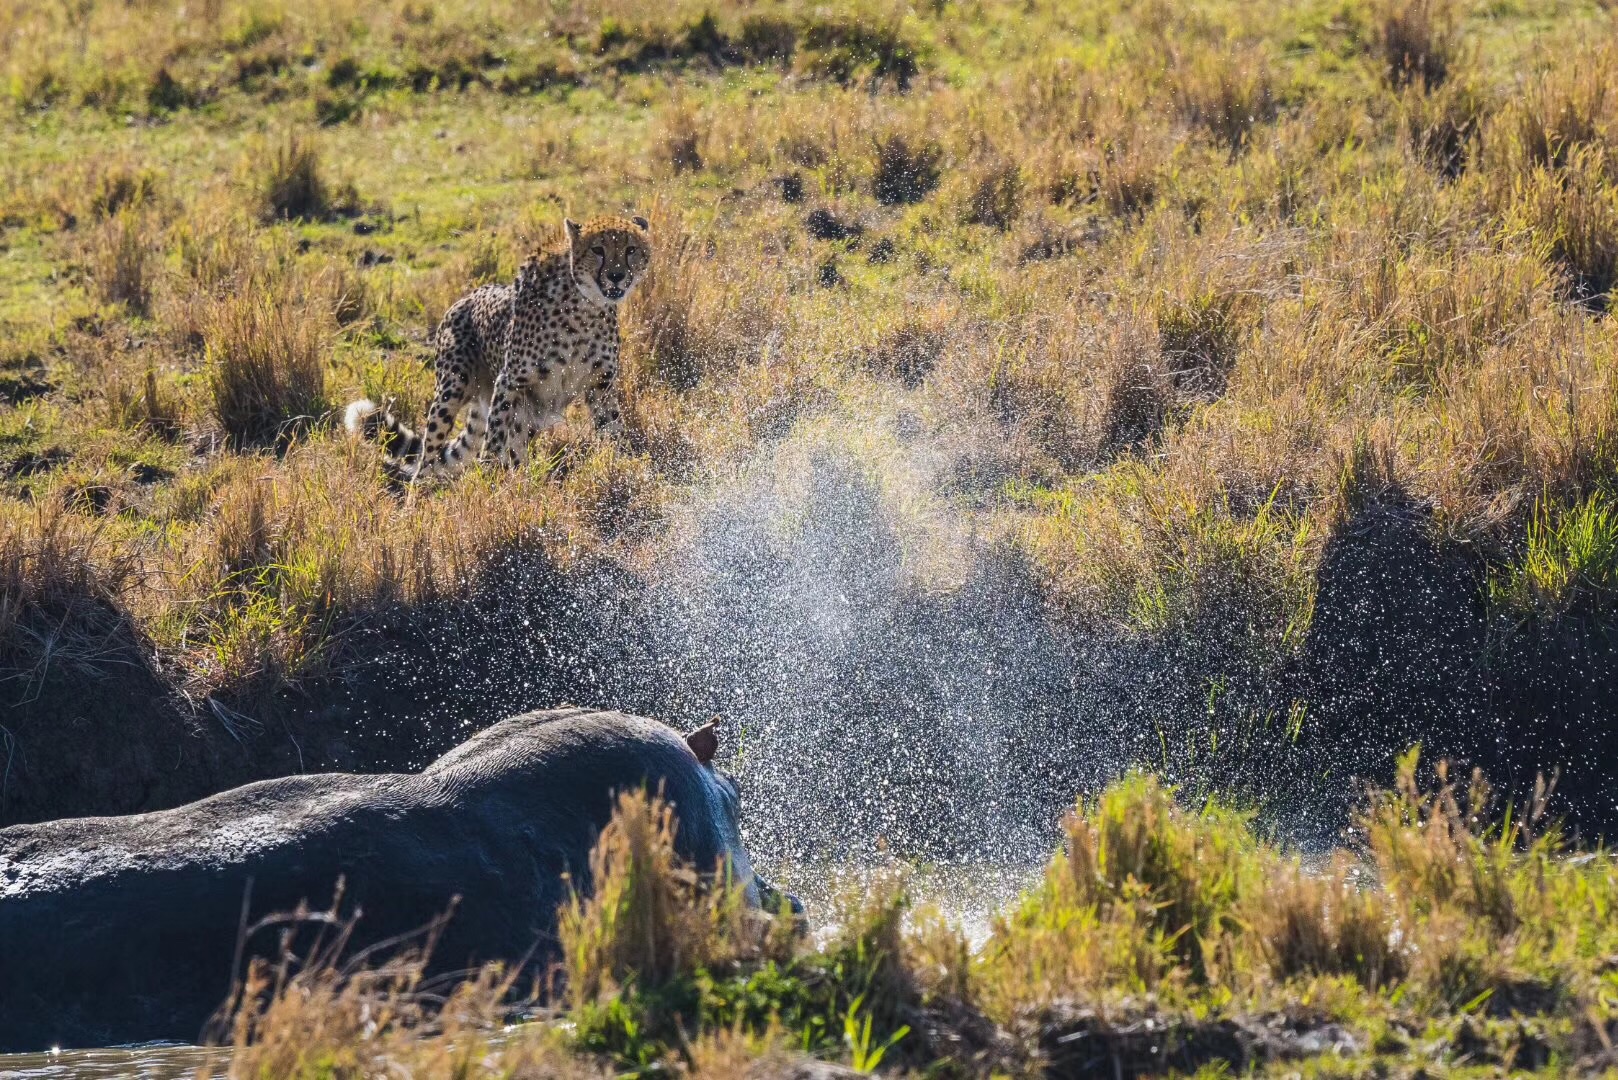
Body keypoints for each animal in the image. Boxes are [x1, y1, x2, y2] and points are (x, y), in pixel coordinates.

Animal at [347, 215, 650, 476]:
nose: (616, 276)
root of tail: (464, 298)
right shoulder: (510, 382)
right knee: (429, 456)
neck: (586, 306)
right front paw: (487, 483)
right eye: (598, 249)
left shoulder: (601, 384)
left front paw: (622, 472)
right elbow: (493, 441)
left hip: (527, 412)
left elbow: (613, 432)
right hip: (453, 389)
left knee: (514, 450)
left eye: (631, 249)